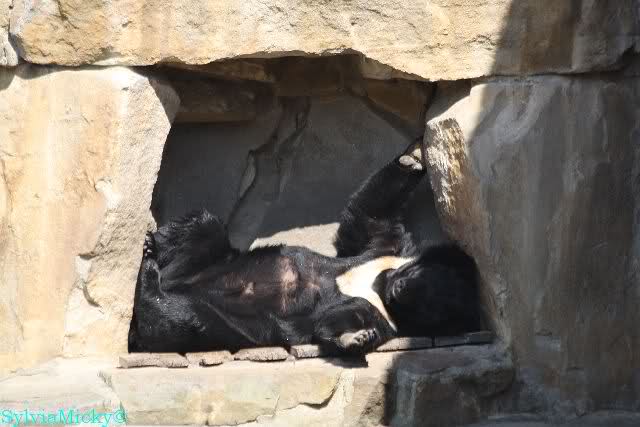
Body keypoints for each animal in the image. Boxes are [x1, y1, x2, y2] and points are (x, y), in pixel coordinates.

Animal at [128, 140, 481, 356]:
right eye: (419, 276)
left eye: (428, 302)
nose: (402, 286)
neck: (378, 284)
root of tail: (178, 283)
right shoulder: (382, 252)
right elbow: (370, 218)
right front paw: (416, 154)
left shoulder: (389, 319)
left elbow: (347, 317)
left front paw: (355, 338)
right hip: (207, 262)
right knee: (203, 227)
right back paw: (153, 247)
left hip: (240, 322)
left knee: (189, 320)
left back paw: (149, 284)